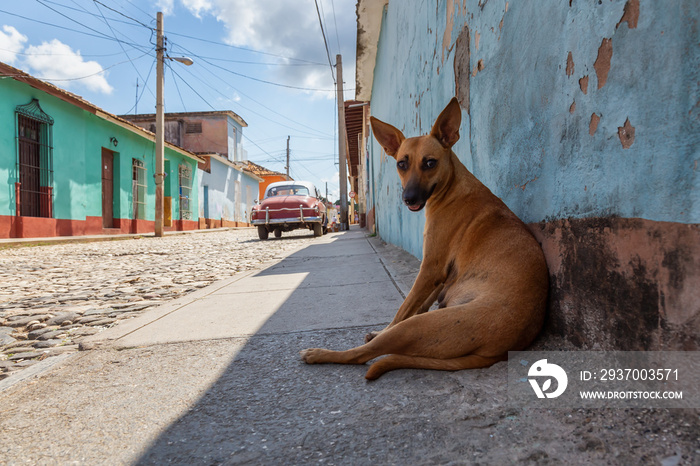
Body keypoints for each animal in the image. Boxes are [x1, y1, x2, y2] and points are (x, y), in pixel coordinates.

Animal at [300, 97, 548, 378]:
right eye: (401, 163)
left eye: (430, 163)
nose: (409, 199)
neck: (452, 188)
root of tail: (500, 351)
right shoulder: (441, 275)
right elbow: (416, 303)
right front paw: (379, 329)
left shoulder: (431, 268)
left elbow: (403, 310)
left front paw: (379, 331)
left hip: (416, 327)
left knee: (365, 353)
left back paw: (320, 354)